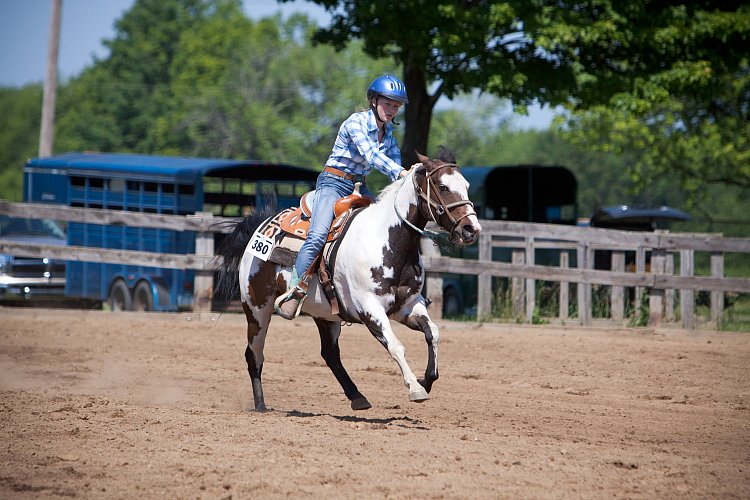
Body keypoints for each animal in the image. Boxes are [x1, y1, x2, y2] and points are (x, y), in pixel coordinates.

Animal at [216, 152, 488, 410]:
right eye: (443, 186)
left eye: (465, 185)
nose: (471, 229)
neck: (386, 241)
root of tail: (259, 227)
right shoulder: (370, 309)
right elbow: (396, 346)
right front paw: (416, 388)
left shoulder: (408, 306)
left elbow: (433, 333)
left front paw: (427, 380)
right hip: (256, 308)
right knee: (254, 354)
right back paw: (261, 405)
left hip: (324, 314)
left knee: (329, 354)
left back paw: (357, 397)